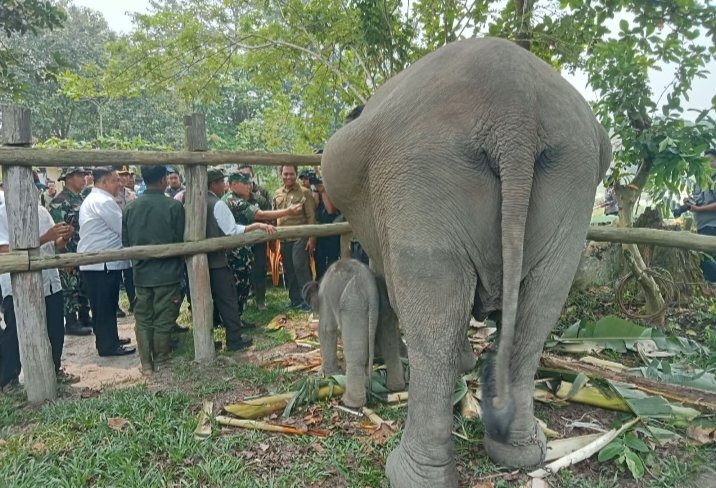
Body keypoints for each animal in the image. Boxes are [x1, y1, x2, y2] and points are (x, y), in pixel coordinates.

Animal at [302, 258, 405, 407]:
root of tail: (370, 286)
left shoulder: (325, 299)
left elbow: (327, 330)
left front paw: (330, 375)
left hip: (354, 306)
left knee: (356, 354)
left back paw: (350, 402)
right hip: (384, 302)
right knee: (389, 344)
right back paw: (396, 387)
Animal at [321, 37, 611, 487]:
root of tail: (515, 113)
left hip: (421, 176)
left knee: (434, 326)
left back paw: (409, 474)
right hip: (573, 179)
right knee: (539, 310)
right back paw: (518, 450)